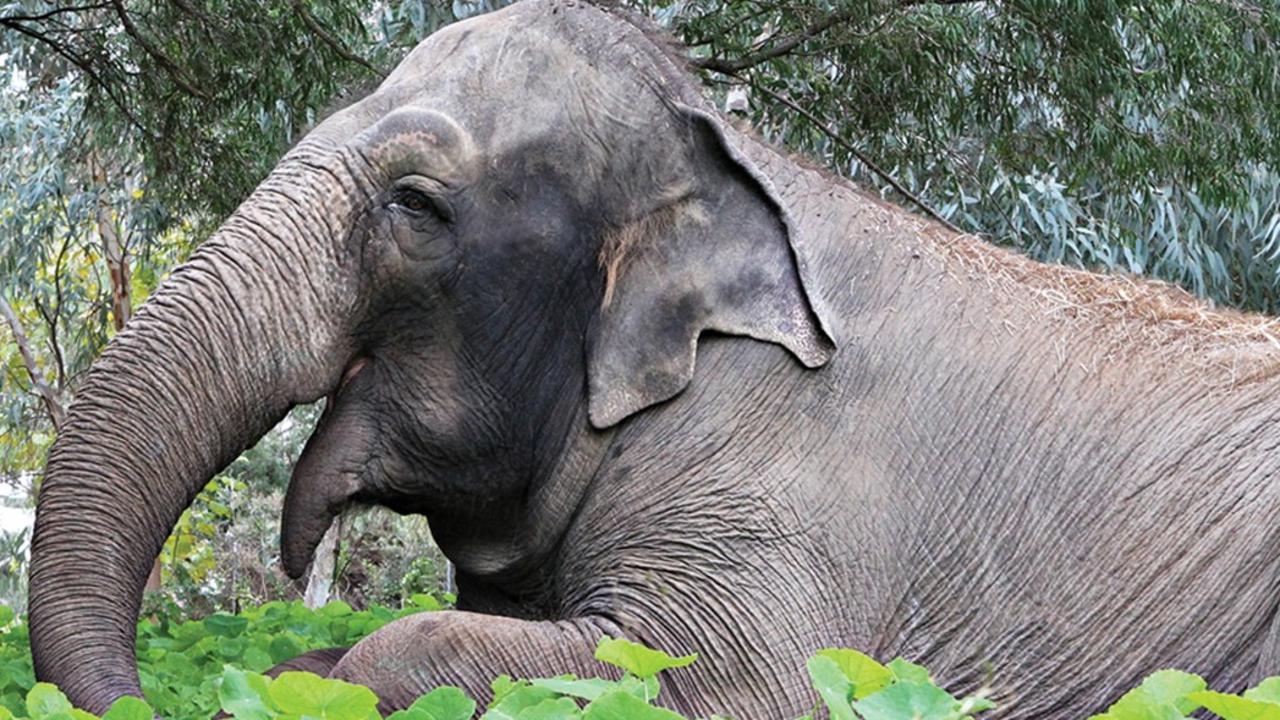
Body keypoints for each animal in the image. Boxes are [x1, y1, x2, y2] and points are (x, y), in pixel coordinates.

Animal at [24, 0, 1280, 712]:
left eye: (415, 205)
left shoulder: (778, 491)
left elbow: (718, 674)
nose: (148, 701)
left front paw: (303, 680)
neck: (734, 157)